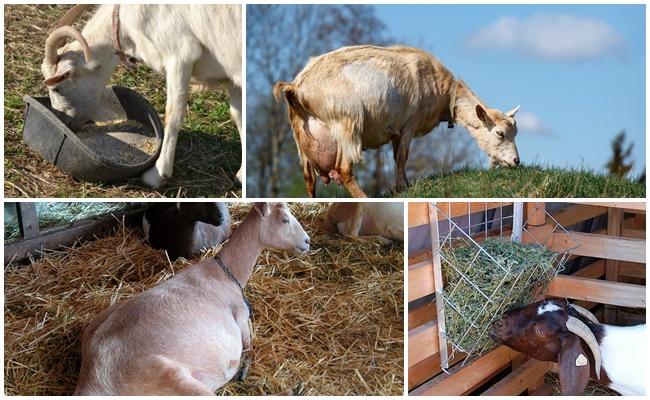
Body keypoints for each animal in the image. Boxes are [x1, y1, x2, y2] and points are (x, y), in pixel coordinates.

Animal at [41, 4, 243, 187]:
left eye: (57, 88)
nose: (65, 122)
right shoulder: (234, 76)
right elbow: (238, 116)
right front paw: (241, 176)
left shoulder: (179, 56)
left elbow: (173, 115)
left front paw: (158, 175)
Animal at [72, 203, 310, 394]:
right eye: (285, 219)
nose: (307, 241)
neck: (226, 272)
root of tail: (93, 377)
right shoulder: (241, 317)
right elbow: (250, 345)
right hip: (171, 377)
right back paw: (293, 390)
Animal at [274, 44, 520, 198]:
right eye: (499, 133)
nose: (516, 161)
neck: (445, 93)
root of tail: (297, 86)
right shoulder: (409, 124)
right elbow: (403, 157)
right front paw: (402, 188)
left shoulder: (395, 131)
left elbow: (396, 157)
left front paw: (404, 185)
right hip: (347, 122)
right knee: (343, 170)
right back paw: (364, 198)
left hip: (302, 138)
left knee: (309, 178)